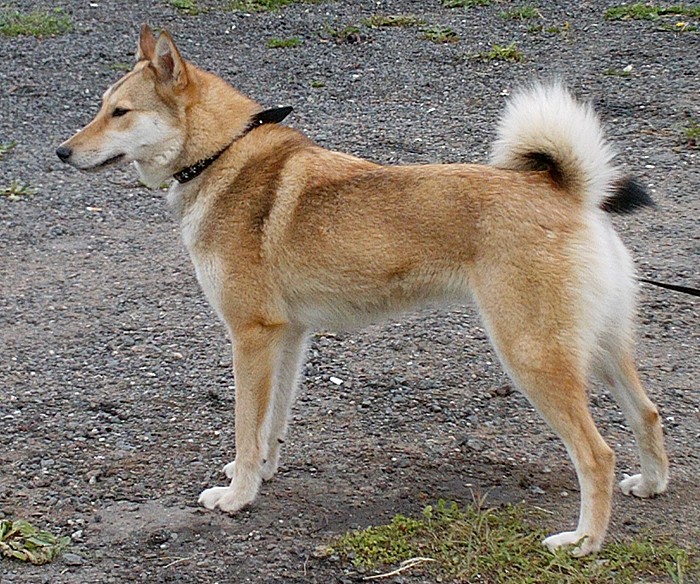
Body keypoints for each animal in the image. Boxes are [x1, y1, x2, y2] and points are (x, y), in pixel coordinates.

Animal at [57, 25, 669, 556]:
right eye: (100, 107)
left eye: (120, 112)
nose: (62, 152)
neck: (221, 154)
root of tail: (568, 192)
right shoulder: (287, 337)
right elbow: (271, 425)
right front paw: (262, 474)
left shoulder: (250, 337)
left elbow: (245, 428)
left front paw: (236, 497)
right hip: (599, 349)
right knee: (647, 414)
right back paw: (650, 485)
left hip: (532, 357)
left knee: (597, 455)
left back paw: (583, 541)